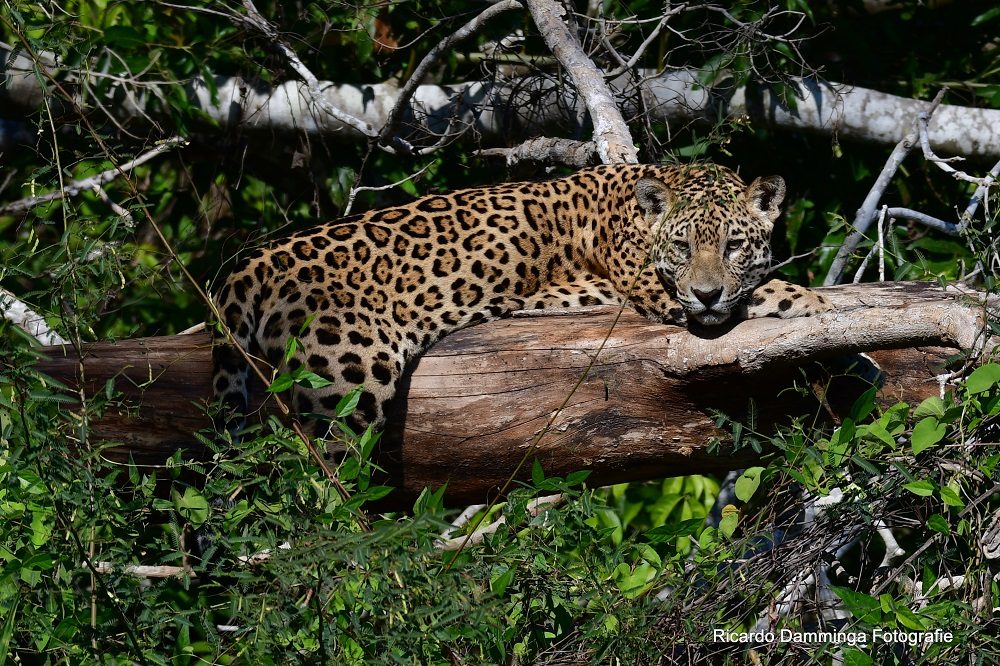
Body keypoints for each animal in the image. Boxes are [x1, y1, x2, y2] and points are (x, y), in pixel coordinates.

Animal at [212, 163, 831, 437]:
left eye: (733, 245)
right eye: (681, 247)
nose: (706, 292)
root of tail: (249, 263)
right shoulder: (657, 291)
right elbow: (761, 293)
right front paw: (817, 306)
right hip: (348, 382)